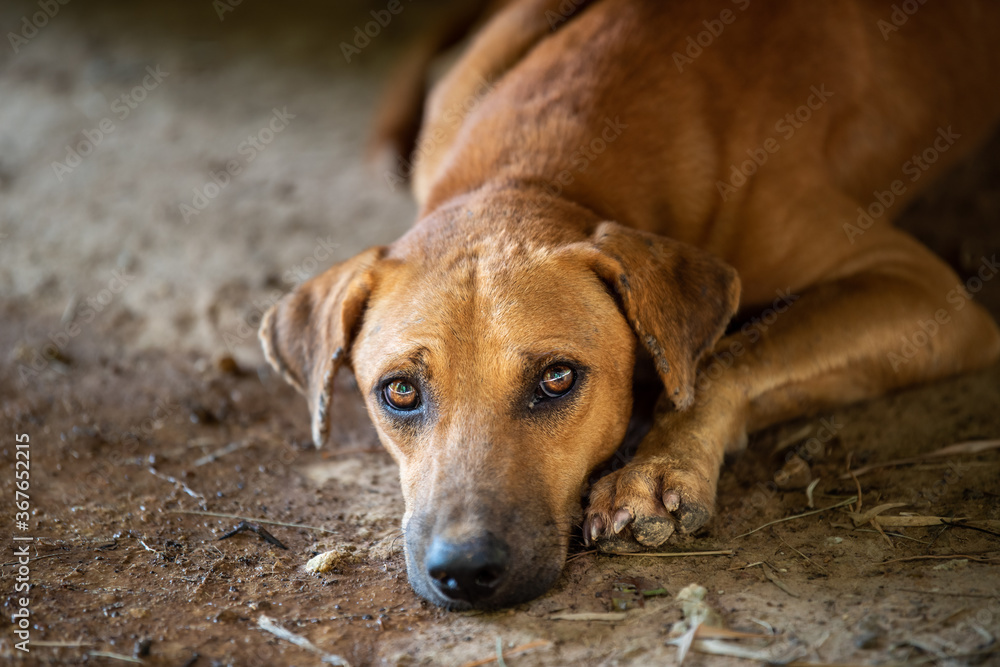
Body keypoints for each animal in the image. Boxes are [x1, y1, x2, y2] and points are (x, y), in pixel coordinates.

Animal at [262, 0, 1000, 612]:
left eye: (558, 378)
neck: (535, 172)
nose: (464, 573)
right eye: (400, 391)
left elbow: (729, 355)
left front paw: (656, 465)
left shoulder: (920, 290)